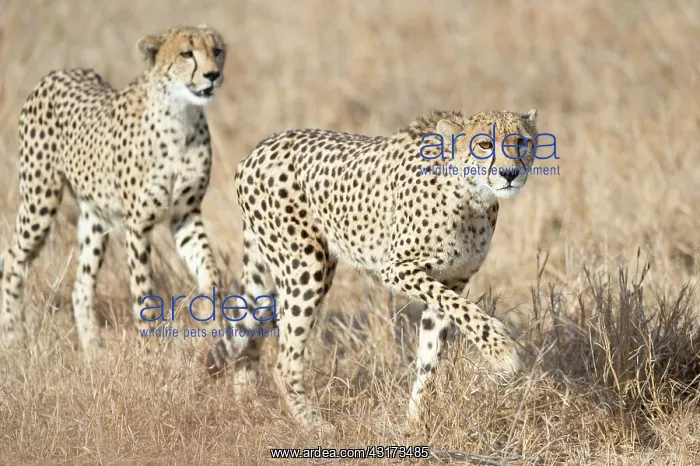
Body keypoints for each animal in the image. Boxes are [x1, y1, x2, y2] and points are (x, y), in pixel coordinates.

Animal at [0, 25, 227, 361]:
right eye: (186, 53)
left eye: (217, 51)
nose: (212, 75)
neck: (181, 116)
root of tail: (59, 71)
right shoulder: (138, 225)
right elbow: (144, 292)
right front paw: (150, 353)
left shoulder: (186, 215)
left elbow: (210, 269)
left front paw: (216, 323)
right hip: (40, 201)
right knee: (14, 257)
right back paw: (13, 338)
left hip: (96, 218)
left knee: (80, 284)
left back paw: (93, 354)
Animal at [205, 108, 539, 433]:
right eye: (484, 144)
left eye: (521, 141)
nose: (510, 173)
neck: (472, 195)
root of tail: (261, 147)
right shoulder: (397, 269)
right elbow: (470, 314)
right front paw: (502, 354)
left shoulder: (451, 280)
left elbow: (431, 355)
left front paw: (415, 423)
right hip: (306, 266)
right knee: (284, 362)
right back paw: (316, 426)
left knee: (252, 330)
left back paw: (247, 402)